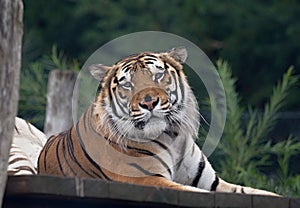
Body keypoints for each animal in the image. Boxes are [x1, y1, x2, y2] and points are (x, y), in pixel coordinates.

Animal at [37, 46, 278, 195]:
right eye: (127, 84)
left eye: (158, 75)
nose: (149, 102)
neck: (173, 137)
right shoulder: (147, 180)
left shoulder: (213, 183)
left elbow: (261, 193)